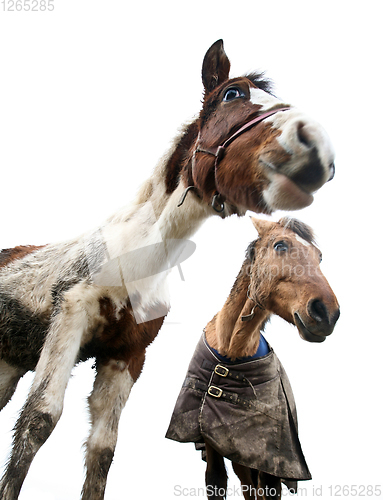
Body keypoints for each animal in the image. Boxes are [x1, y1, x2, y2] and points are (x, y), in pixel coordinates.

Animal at [166, 218, 340, 500]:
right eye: (280, 245)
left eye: (320, 257)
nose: (327, 313)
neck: (231, 352)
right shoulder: (214, 450)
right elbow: (216, 480)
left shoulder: (269, 462)